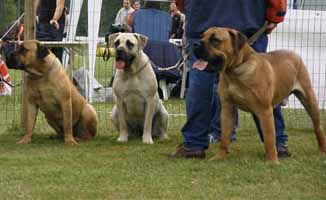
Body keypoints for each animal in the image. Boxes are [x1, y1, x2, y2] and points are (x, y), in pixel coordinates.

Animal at [194, 27, 326, 164]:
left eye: (215, 40)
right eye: (202, 36)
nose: (195, 43)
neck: (235, 70)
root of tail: (294, 54)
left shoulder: (265, 111)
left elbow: (269, 139)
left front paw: (272, 162)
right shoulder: (227, 109)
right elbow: (225, 137)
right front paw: (219, 157)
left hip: (309, 101)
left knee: (318, 127)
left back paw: (322, 150)